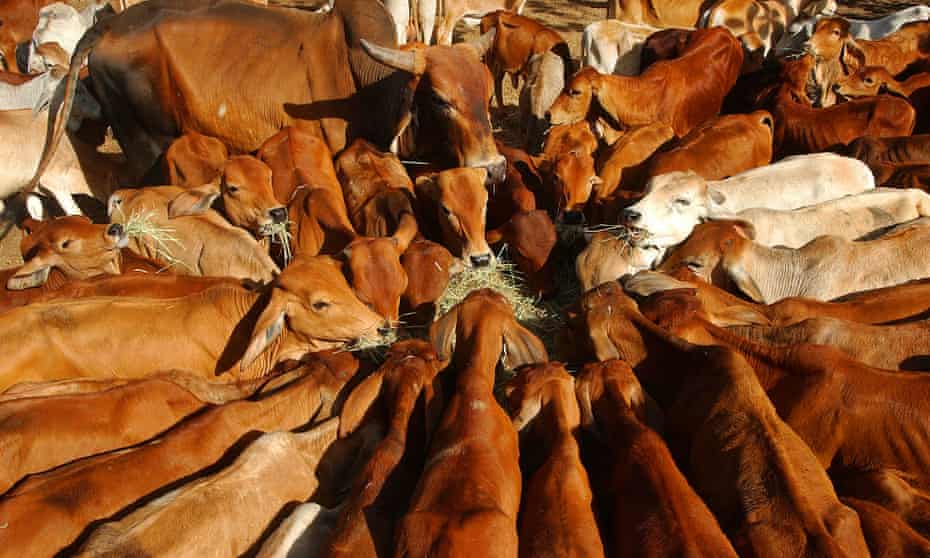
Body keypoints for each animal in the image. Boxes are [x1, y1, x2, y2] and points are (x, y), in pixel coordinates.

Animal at [29, 0, 506, 193]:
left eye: (486, 95)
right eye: (440, 99)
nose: (494, 167)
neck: (370, 83)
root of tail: (107, 26)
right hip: (145, 140)